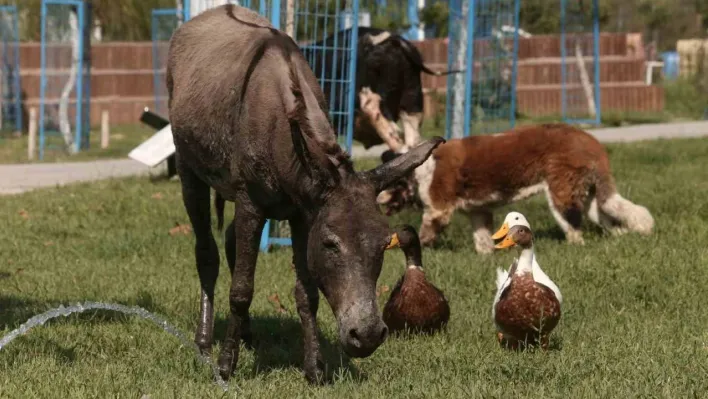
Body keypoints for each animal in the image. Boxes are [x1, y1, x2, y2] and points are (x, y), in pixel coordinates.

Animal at [406, 123, 656, 255]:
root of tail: (589, 141)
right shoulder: (478, 211)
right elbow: (482, 237)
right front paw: (487, 255)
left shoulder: (438, 208)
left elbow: (426, 230)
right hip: (590, 197)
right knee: (610, 215)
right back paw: (622, 236)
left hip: (561, 192)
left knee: (573, 225)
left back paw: (574, 247)